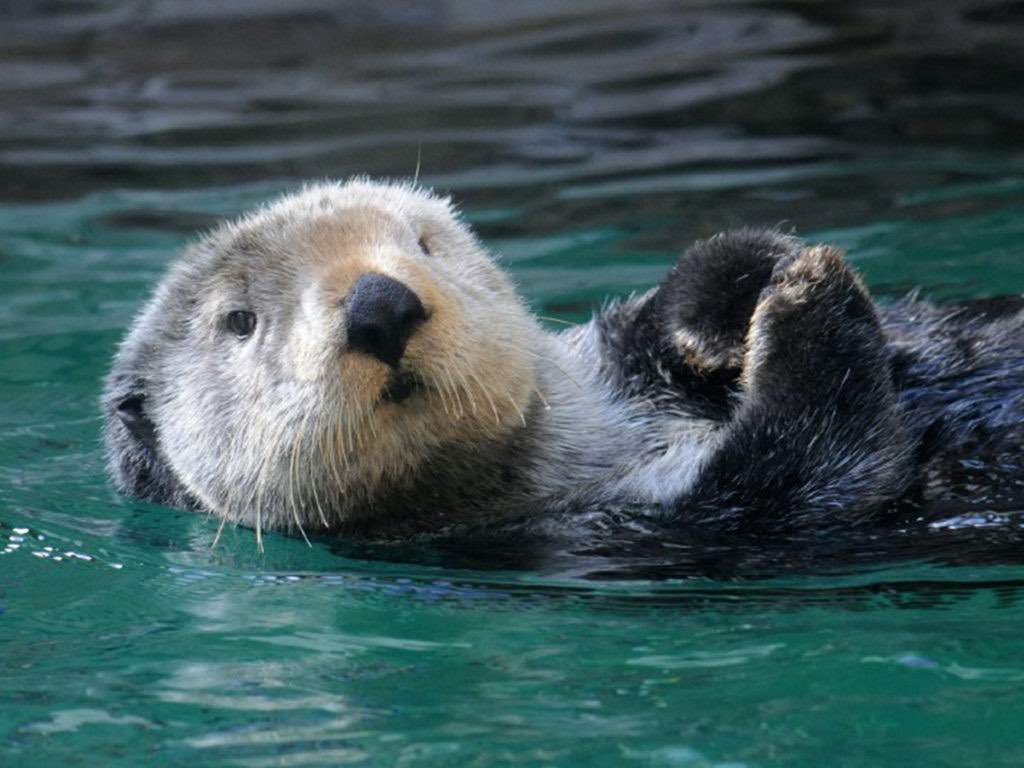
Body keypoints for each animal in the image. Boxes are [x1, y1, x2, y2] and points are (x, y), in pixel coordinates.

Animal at [102, 179, 1024, 546]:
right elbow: (821, 471)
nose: (380, 304)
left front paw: (733, 300)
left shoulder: (612, 357)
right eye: (239, 320)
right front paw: (806, 298)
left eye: (423, 244)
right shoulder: (632, 528)